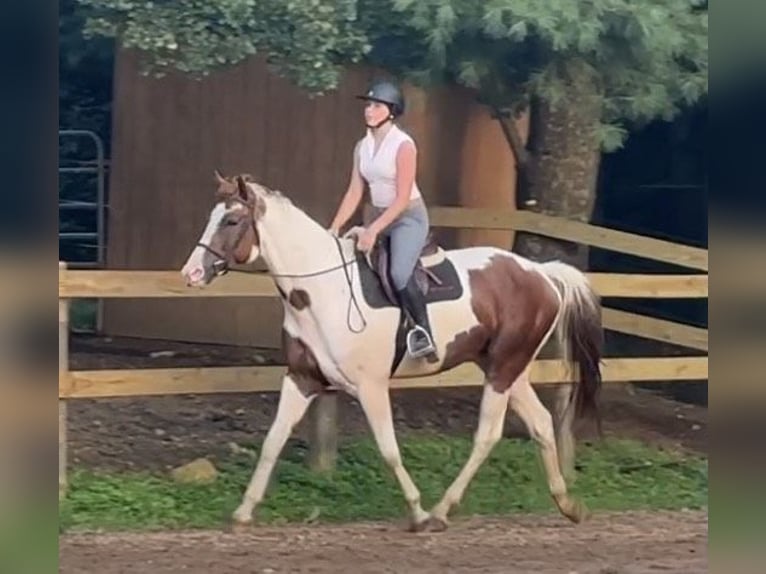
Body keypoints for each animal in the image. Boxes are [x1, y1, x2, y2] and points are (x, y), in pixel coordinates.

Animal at [182, 172, 608, 536]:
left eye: (232, 220)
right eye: (212, 217)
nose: (191, 274)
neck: (323, 290)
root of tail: (542, 273)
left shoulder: (370, 386)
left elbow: (388, 450)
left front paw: (417, 513)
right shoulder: (302, 379)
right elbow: (273, 442)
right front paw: (243, 512)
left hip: (504, 368)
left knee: (488, 434)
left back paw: (440, 512)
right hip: (505, 368)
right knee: (540, 423)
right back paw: (567, 505)